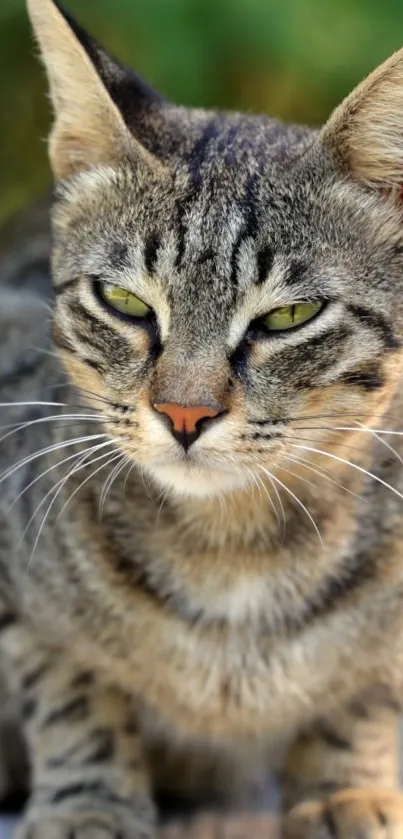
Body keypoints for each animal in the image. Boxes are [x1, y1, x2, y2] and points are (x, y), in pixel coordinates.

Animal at [2, 0, 403, 836]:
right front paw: (89, 799)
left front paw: (343, 787)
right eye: (123, 301)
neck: (232, 550)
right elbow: (67, 683)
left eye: (288, 315)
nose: (183, 412)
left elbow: (366, 687)